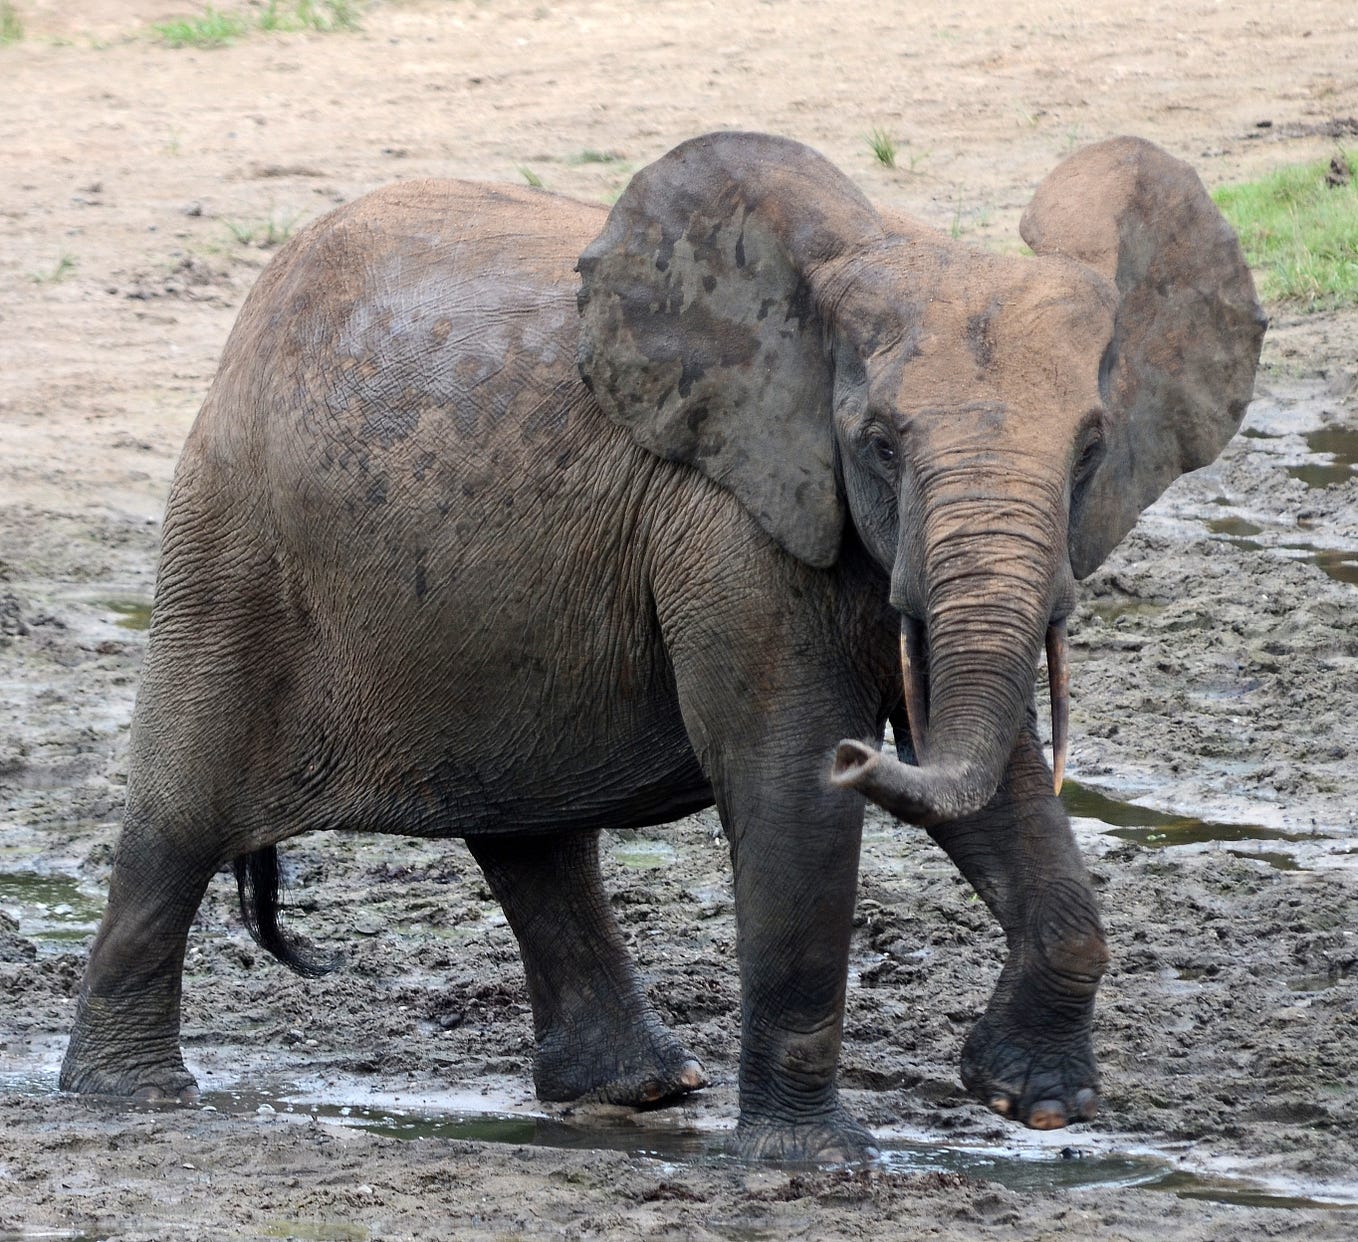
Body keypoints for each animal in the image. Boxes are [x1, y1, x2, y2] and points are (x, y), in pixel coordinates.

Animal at [58, 130, 1265, 1161]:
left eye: (1091, 449)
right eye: (878, 443)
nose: (864, 749)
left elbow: (986, 769)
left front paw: (1037, 1106)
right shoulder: (728, 522)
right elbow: (789, 786)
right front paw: (814, 1166)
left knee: (531, 840)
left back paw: (636, 1093)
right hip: (232, 545)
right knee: (177, 818)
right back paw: (130, 1098)